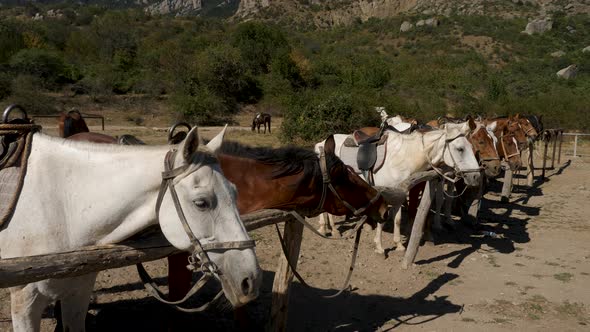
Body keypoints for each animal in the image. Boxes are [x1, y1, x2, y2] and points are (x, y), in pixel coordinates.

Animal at [0, 127, 262, 332]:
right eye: (201, 203)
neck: (64, 205)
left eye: (235, 193)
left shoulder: (78, 294)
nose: (251, 281)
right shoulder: (26, 304)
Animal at [316, 122, 484, 254]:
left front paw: (398, 245)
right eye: (460, 149)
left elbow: (397, 219)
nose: (476, 176)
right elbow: (383, 221)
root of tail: (320, 144)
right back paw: (330, 229)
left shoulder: (399, 193)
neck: (404, 157)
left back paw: (326, 228)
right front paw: (379, 247)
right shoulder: (386, 195)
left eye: (472, 146)